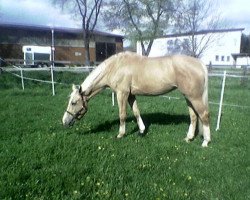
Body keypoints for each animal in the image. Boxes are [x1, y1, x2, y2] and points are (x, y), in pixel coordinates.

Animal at [62, 52, 211, 148]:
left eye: (74, 102)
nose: (64, 121)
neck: (115, 67)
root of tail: (199, 63)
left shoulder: (122, 94)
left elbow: (122, 115)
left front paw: (120, 134)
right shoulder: (130, 95)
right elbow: (136, 112)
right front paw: (141, 131)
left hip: (194, 97)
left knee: (204, 115)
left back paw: (205, 142)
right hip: (188, 97)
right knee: (193, 116)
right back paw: (189, 138)